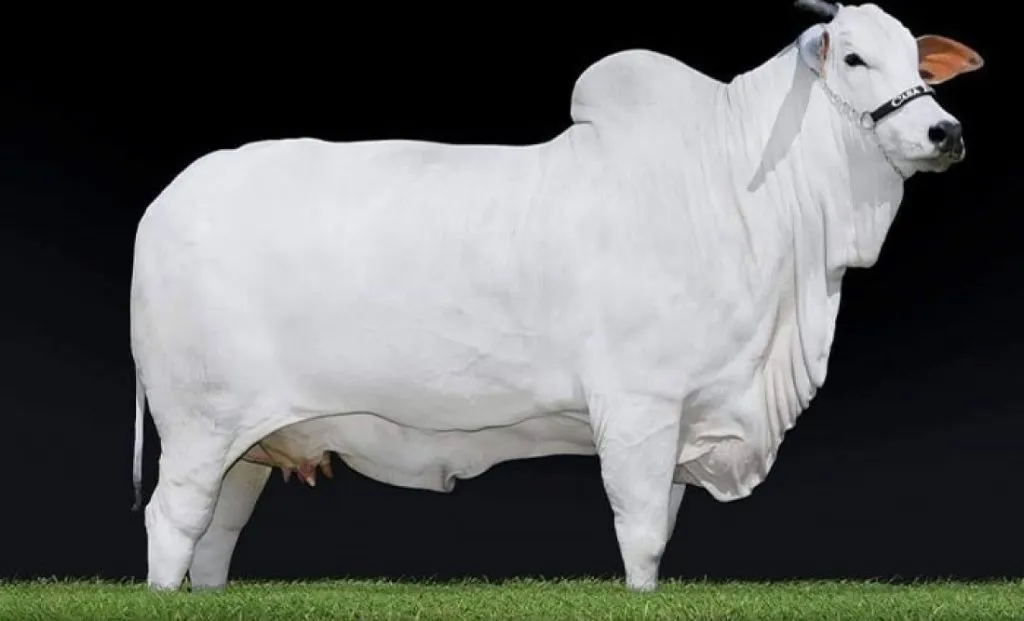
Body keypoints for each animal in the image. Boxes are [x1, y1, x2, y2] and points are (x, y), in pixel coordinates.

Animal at [129, 1, 983, 593]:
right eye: (854, 57)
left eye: (919, 62)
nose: (944, 132)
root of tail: (167, 198)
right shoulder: (639, 407)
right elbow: (641, 533)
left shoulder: (687, 419)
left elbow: (663, 525)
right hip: (198, 426)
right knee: (172, 522)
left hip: (249, 443)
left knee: (217, 535)